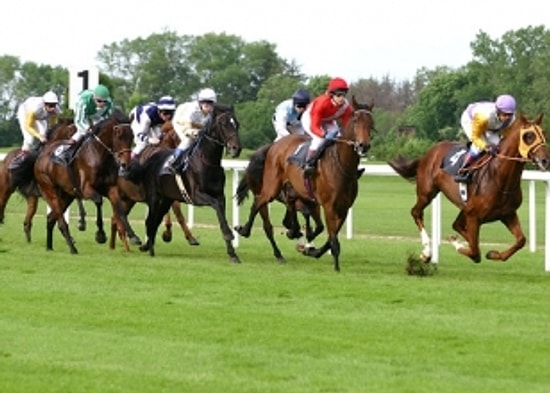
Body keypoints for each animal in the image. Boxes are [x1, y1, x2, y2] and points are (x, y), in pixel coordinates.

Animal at [33, 108, 135, 253]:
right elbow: (98, 201)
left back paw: (49, 247)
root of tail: (41, 156)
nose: (125, 164)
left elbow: (120, 208)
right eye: (119, 135)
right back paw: (72, 248)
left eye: (132, 136)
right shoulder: (86, 189)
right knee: (60, 220)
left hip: (66, 195)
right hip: (49, 191)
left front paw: (133, 236)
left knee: (51, 218)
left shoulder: (110, 188)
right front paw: (100, 234)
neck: (98, 154)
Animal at [133, 104, 243, 260]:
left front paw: (232, 253)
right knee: (151, 220)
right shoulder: (195, 196)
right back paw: (149, 247)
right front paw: (230, 237)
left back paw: (149, 245)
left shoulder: (220, 195)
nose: (236, 148)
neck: (207, 162)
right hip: (154, 197)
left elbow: (221, 215)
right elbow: (215, 205)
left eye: (236, 124)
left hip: (166, 199)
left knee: (156, 219)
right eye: (223, 124)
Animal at [235, 96, 374, 272]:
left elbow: (328, 236)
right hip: (271, 189)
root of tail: (274, 146)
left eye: (371, 122)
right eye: (355, 120)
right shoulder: (327, 206)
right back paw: (246, 231)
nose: (363, 145)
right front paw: (336, 267)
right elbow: (331, 237)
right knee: (260, 209)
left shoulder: (342, 208)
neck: (341, 166)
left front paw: (312, 249)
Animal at [388, 112, 550, 262]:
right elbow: (475, 252)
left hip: (464, 206)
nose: (545, 160)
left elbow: (521, 240)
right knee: (416, 212)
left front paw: (493, 254)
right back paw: (427, 252)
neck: (499, 177)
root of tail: (428, 154)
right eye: (529, 136)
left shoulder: (507, 214)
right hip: (426, 193)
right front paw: (456, 243)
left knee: (456, 225)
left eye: (543, 133)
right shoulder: (473, 216)